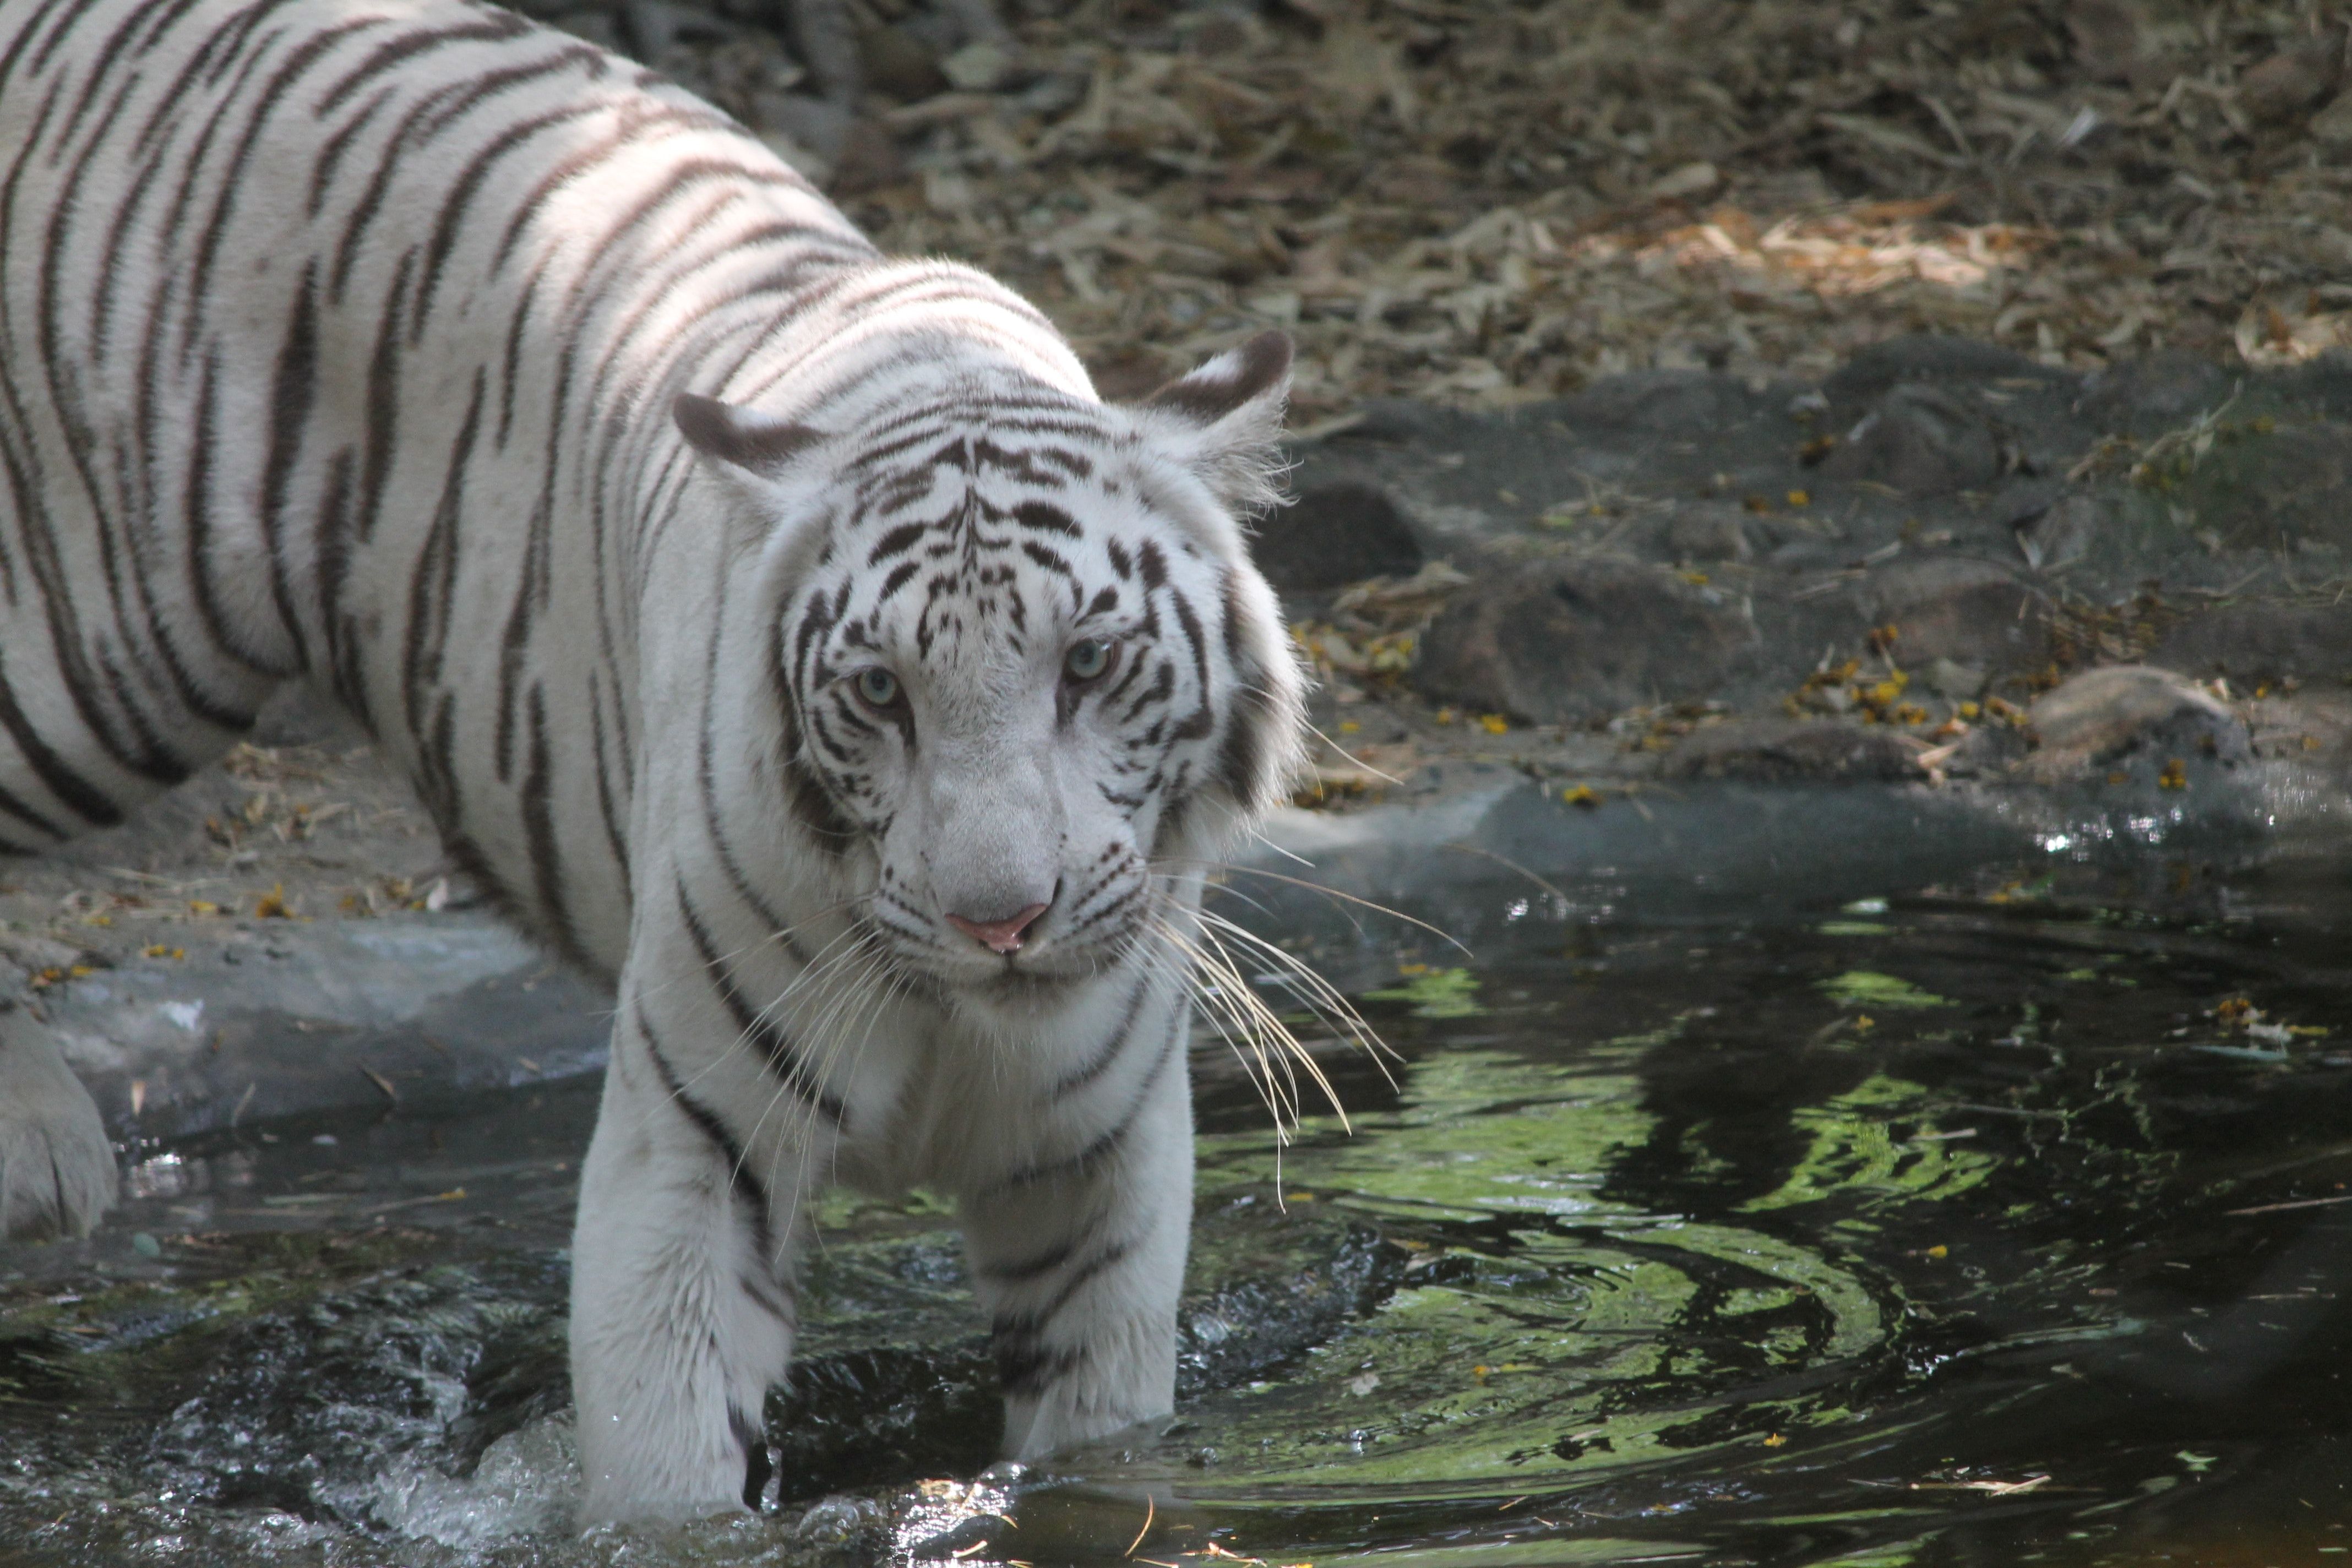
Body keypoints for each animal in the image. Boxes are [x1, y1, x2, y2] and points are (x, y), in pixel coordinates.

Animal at [0, 0, 1308, 1523]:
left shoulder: (1099, 1166)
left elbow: (1103, 1433)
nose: (1000, 920)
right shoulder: (688, 1145)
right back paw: (44, 1145)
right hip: (114, 647)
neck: (955, 1014)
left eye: (1087, 664)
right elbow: (667, 1454)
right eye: (881, 691)